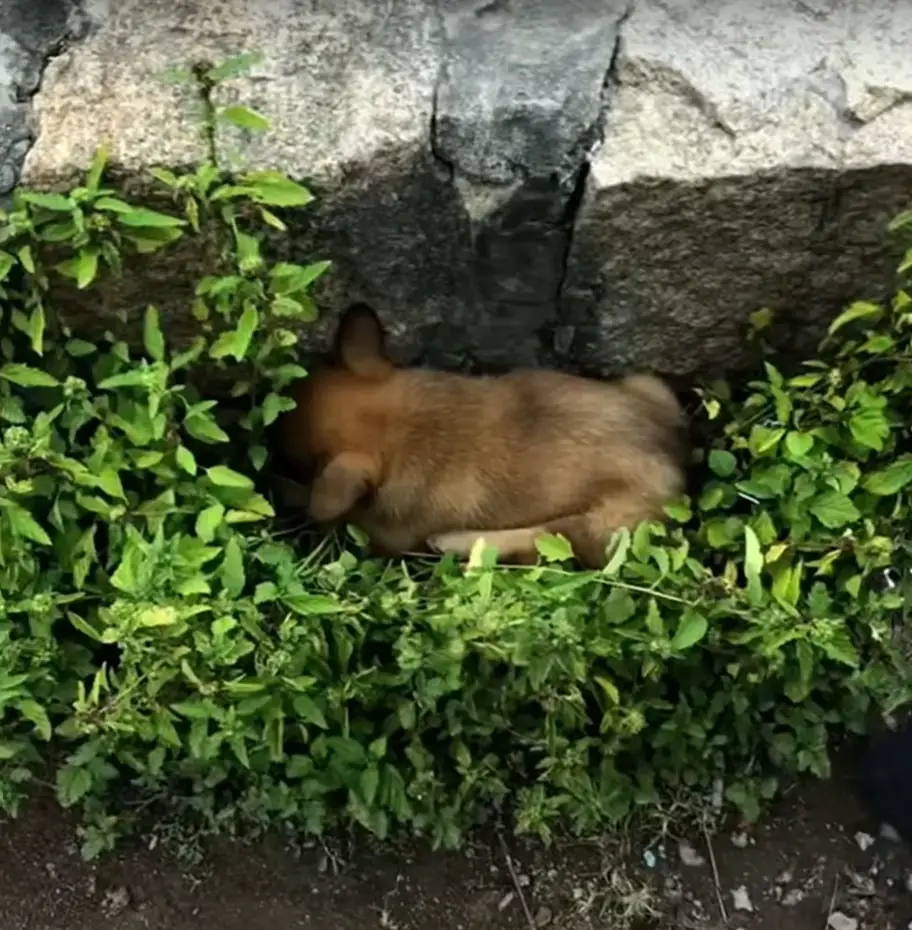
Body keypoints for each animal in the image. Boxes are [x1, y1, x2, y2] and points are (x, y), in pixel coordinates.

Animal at [274, 302, 688, 564]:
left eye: (292, 461)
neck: (400, 426)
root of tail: (677, 461)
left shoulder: (383, 530)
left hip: (604, 525)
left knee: (545, 536)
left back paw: (456, 543)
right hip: (646, 384)